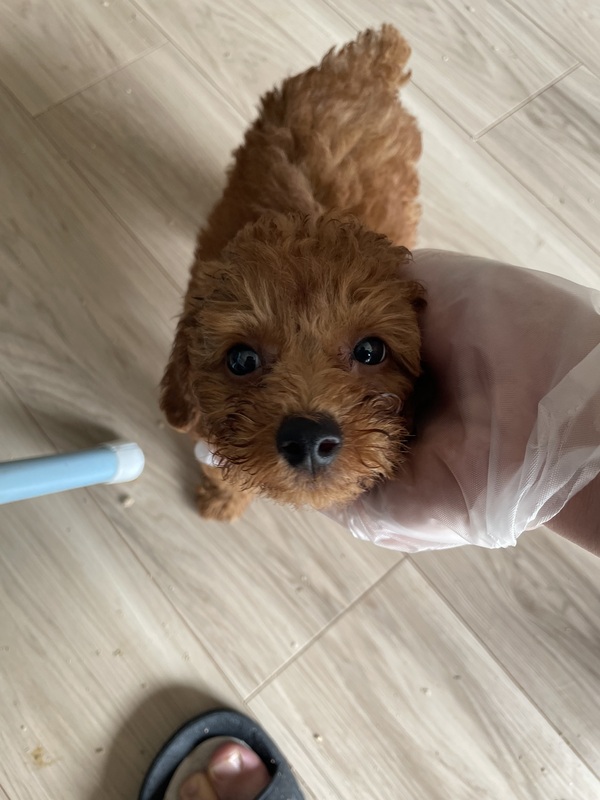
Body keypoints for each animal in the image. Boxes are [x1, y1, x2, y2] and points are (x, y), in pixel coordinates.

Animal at [161, 25, 424, 521]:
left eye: (370, 351)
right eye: (241, 360)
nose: (308, 438)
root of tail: (366, 65)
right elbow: (226, 471)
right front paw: (222, 500)